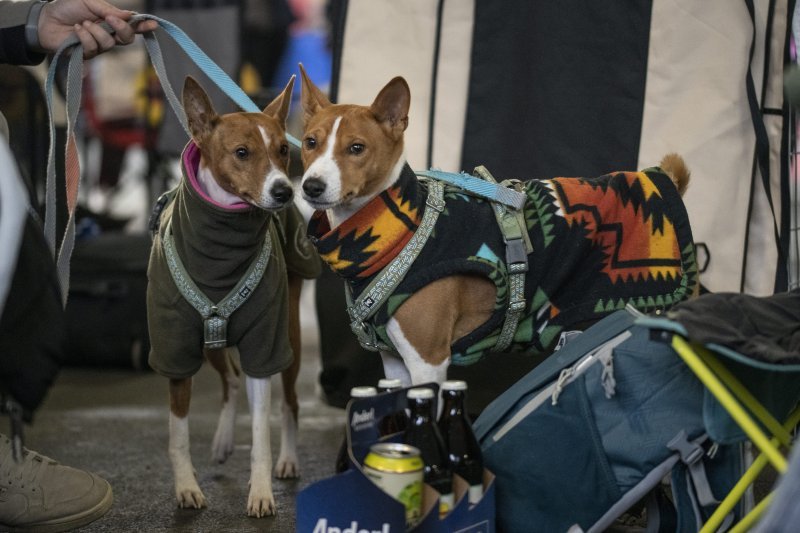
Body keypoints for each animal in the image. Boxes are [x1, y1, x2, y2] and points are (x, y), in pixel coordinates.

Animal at [147, 75, 312, 516]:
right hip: (210, 343)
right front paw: (187, 488)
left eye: (284, 149)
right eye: (242, 153)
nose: (284, 191)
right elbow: (178, 434)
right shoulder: (175, 349)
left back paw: (289, 459)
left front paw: (261, 492)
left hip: (289, 337)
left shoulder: (264, 345)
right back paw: (222, 442)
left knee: (289, 402)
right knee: (232, 380)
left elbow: (260, 435)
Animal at [296, 68, 696, 388]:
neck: (400, 231)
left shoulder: (428, 360)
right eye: (310, 143)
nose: (311, 186)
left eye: (357, 148)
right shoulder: (395, 362)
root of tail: (663, 179)